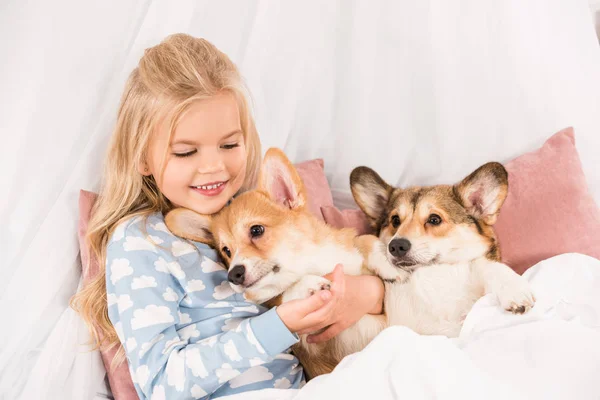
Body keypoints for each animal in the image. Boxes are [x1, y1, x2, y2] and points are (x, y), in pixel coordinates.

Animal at [164, 148, 408, 378]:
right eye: (226, 251)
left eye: (256, 230)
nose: (233, 275)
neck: (312, 263)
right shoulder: (318, 342)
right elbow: (284, 296)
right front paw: (307, 284)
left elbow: (367, 240)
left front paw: (389, 267)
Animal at [350, 162, 536, 338]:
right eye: (395, 220)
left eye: (434, 219)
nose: (396, 246)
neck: (432, 270)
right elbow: (363, 239)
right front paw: (388, 267)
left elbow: (489, 266)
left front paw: (514, 290)